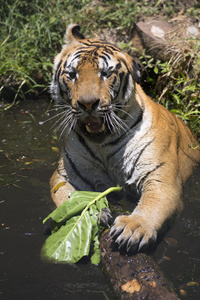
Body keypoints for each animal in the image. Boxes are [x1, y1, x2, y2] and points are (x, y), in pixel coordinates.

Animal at [49, 23, 199, 252]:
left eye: (105, 73)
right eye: (72, 74)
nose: (87, 104)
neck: (102, 142)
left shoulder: (161, 177)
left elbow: (152, 203)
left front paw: (133, 227)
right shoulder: (64, 176)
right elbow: (67, 198)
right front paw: (90, 210)